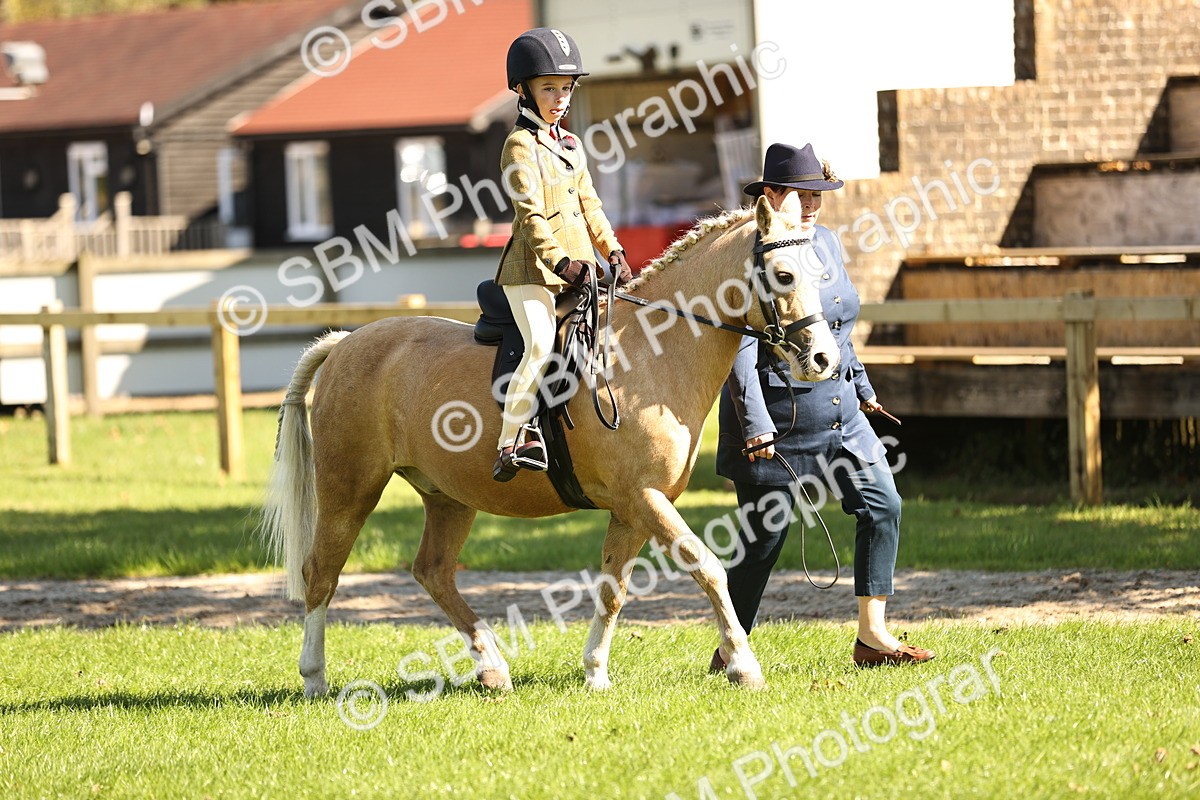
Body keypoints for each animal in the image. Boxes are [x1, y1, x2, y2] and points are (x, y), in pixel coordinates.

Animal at [260, 193, 839, 698]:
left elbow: (612, 589)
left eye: (819, 274)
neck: (652, 352)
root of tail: (346, 344)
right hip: (350, 490)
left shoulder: (632, 509)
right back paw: (314, 678)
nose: (823, 360)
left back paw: (492, 667)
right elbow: (709, 568)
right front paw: (743, 666)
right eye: (784, 276)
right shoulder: (645, 498)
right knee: (321, 574)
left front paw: (596, 673)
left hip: (448, 497)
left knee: (432, 571)